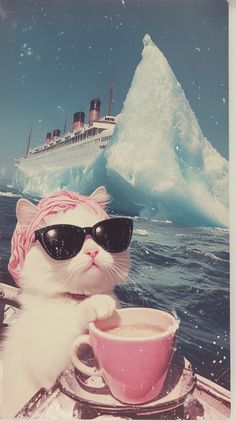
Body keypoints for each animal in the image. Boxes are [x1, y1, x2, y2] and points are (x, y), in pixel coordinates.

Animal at [1, 187, 131, 416]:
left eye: (103, 236)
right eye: (62, 241)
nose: (92, 251)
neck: (74, 298)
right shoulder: (46, 365)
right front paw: (98, 304)